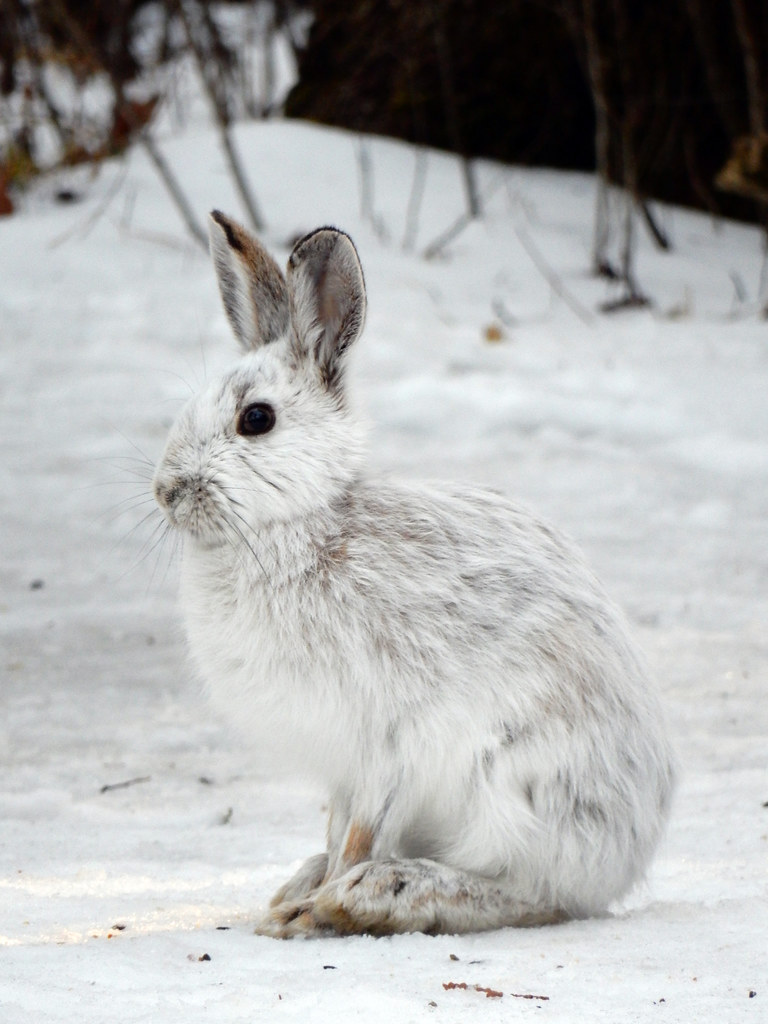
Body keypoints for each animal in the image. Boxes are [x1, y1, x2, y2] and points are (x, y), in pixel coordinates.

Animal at [153, 210, 676, 937]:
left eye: (256, 419)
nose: (165, 491)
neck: (293, 525)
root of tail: (629, 850)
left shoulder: (389, 739)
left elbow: (360, 831)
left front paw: (314, 911)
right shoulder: (344, 770)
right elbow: (336, 826)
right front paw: (296, 903)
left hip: (513, 783)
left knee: (532, 894)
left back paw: (375, 893)